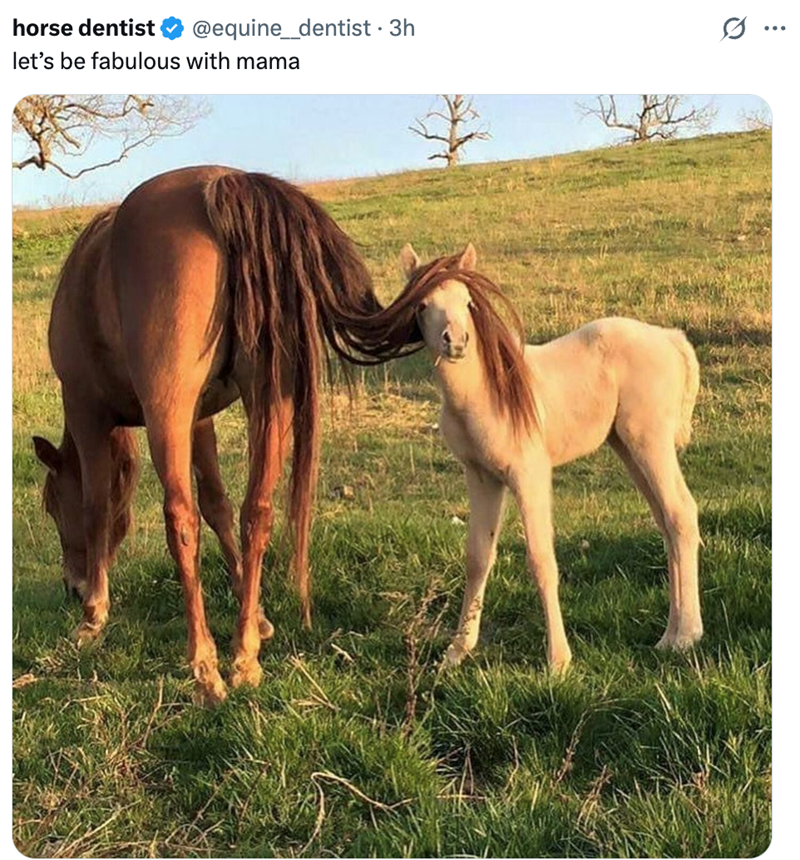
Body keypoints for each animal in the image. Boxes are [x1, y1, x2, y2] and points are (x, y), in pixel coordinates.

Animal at [31, 166, 396, 705]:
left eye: (54, 506)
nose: (71, 587)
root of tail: (226, 183)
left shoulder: (87, 410)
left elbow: (99, 507)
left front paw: (93, 616)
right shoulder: (199, 420)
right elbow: (219, 506)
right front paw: (257, 613)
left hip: (169, 410)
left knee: (180, 519)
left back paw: (205, 669)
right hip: (265, 397)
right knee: (256, 511)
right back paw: (244, 657)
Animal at [376, 243, 702, 671]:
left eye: (468, 302)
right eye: (422, 305)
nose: (457, 341)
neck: (485, 393)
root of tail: (670, 338)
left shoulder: (528, 473)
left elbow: (541, 558)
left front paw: (558, 660)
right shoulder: (481, 477)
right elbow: (478, 556)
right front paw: (456, 652)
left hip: (650, 442)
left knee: (681, 513)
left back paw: (685, 637)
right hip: (628, 447)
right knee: (666, 520)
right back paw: (669, 636)